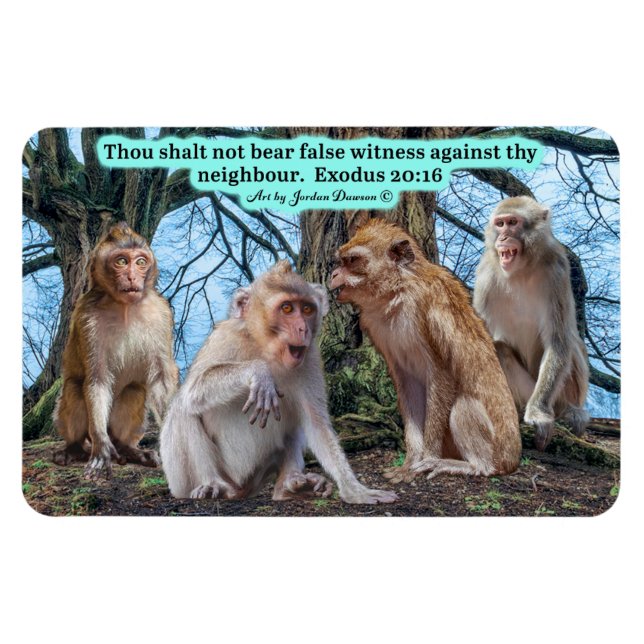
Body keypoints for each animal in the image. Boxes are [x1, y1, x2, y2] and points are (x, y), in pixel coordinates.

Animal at [53, 222, 179, 480]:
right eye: (121, 261)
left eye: (140, 262)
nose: (132, 276)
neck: (124, 308)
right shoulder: (86, 316)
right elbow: (97, 378)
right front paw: (101, 449)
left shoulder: (161, 313)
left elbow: (161, 378)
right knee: (74, 387)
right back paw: (75, 448)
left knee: (134, 389)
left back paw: (128, 449)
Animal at [160, 261, 397, 504]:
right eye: (287, 309)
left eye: (307, 309)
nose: (303, 329)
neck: (265, 348)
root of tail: (241, 490)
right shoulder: (224, 338)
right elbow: (193, 389)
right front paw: (260, 373)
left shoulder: (310, 358)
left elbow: (315, 422)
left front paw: (354, 489)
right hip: (184, 481)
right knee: (183, 407)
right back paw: (212, 484)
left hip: (259, 473)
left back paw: (288, 486)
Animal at [330, 219, 521, 483]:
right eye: (341, 261)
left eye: (352, 260)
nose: (333, 274)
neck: (397, 293)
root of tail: (512, 460)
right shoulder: (376, 328)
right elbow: (407, 383)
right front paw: (410, 462)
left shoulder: (428, 305)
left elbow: (442, 374)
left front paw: (427, 458)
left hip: (496, 449)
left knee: (463, 408)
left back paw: (471, 466)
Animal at [473, 195, 589, 450]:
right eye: (500, 224)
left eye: (513, 223)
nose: (503, 237)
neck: (521, 270)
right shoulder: (485, 275)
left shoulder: (557, 270)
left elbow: (557, 341)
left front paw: (538, 414)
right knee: (499, 349)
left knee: (570, 342)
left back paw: (571, 411)